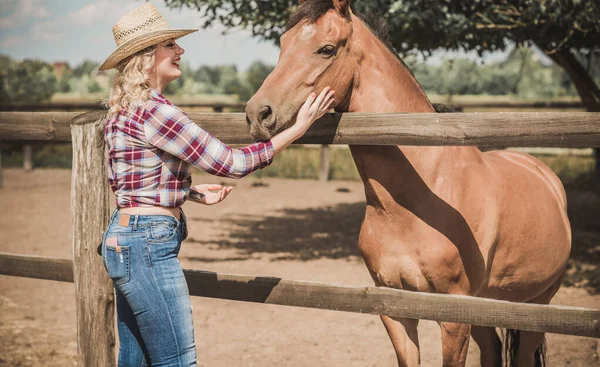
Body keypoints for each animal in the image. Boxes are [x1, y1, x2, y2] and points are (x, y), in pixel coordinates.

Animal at [245, 1, 572, 366]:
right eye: (282, 44)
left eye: (326, 49)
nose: (258, 113)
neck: (421, 198)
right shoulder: (395, 310)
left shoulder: (453, 319)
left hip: (537, 305)